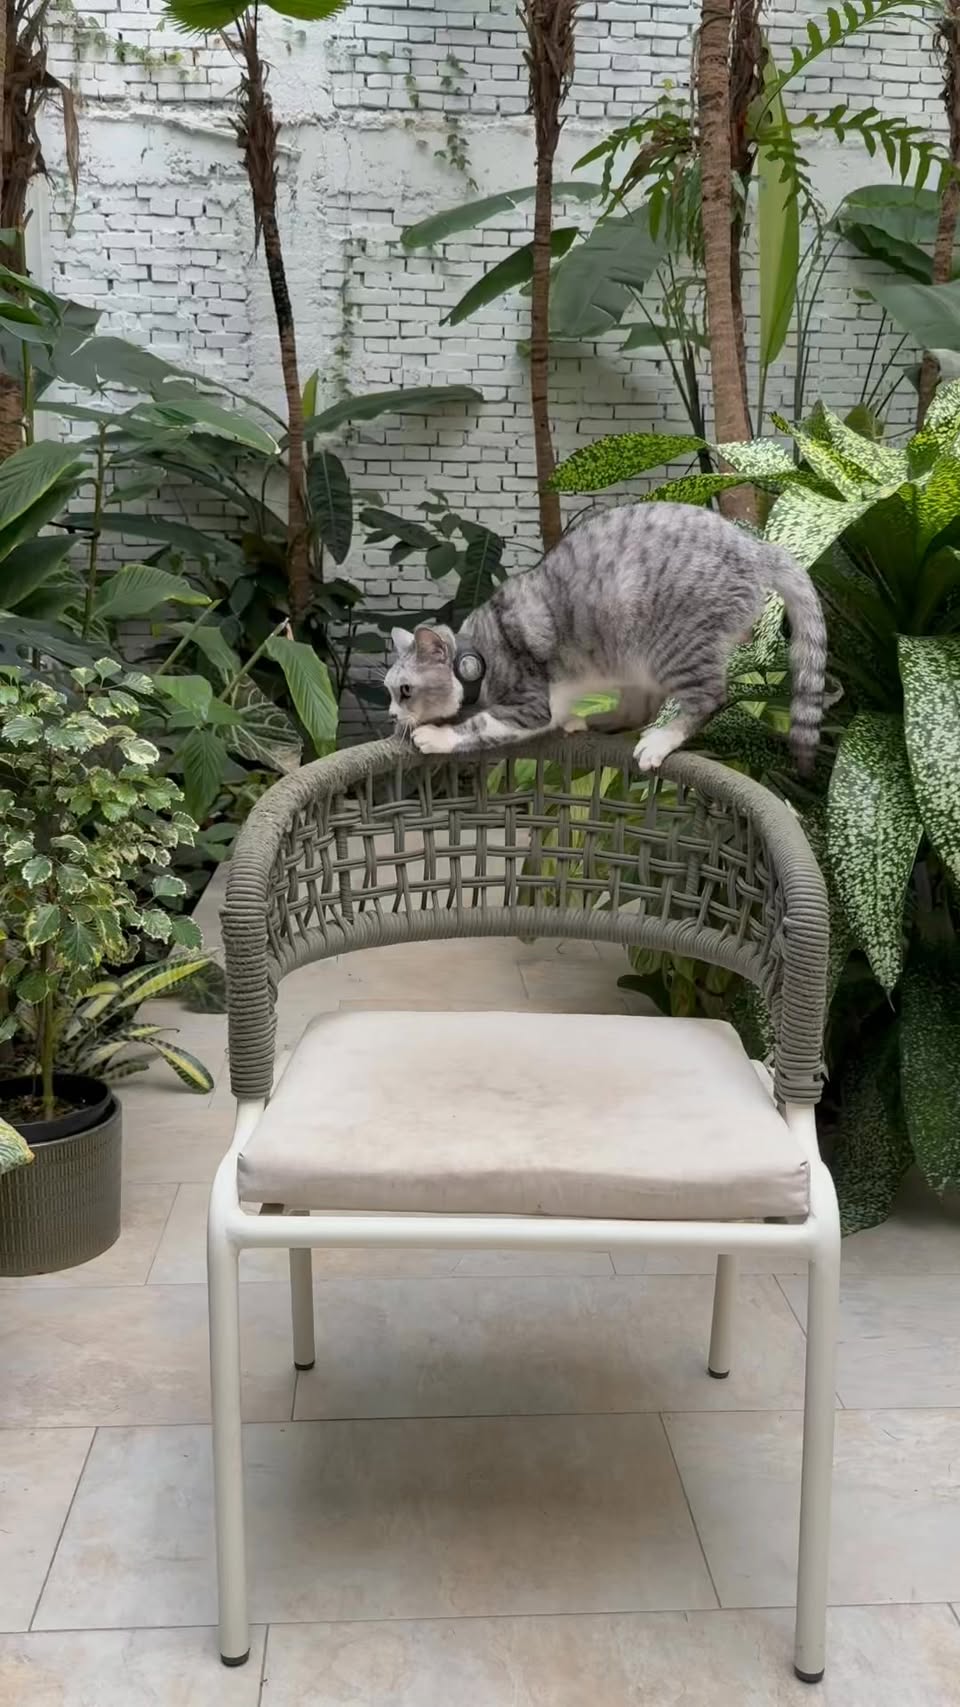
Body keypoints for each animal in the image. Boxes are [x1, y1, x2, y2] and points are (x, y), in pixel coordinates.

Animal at [385, 502, 826, 774]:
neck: (478, 653)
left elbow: (480, 725)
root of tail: (755, 547)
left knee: (708, 698)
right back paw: (593, 720)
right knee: (637, 709)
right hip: (631, 661)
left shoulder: (528, 705)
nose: (390, 715)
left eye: (404, 691)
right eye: (389, 690)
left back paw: (660, 740)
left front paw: (436, 736)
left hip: (675, 646)